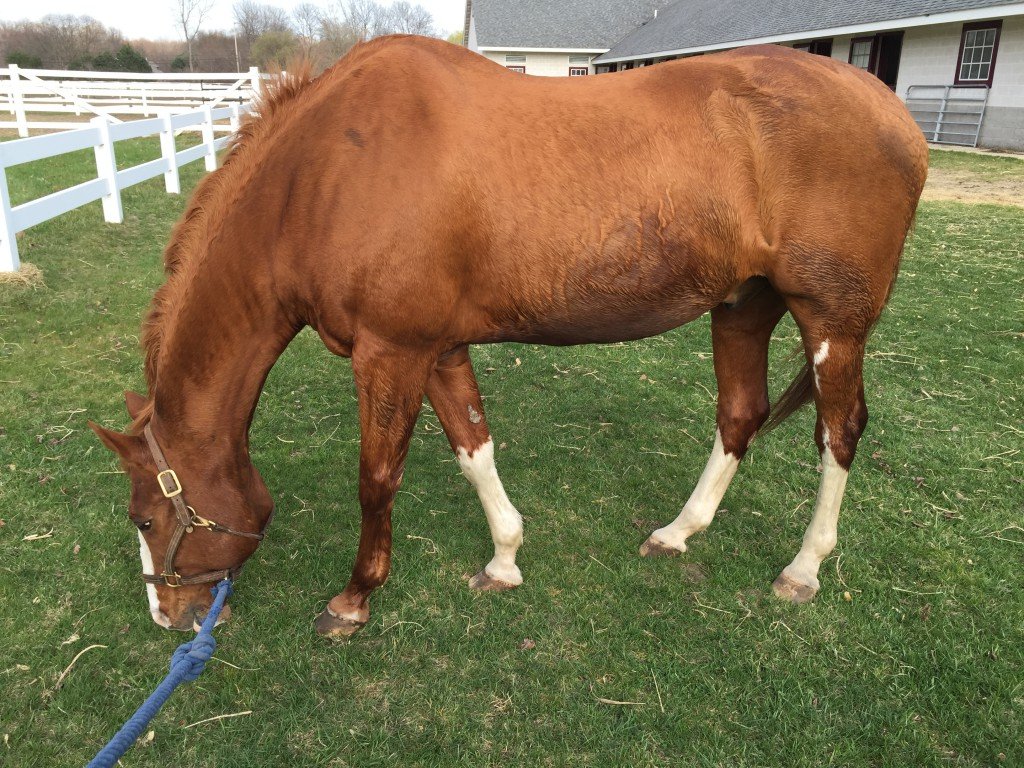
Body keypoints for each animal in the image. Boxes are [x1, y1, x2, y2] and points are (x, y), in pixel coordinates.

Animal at [92, 36, 933, 638]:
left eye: (144, 519)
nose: (168, 617)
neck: (325, 174)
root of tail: (895, 115)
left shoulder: (390, 353)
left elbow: (377, 478)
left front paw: (354, 598)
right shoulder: (435, 349)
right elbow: (475, 449)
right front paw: (503, 558)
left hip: (831, 321)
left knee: (840, 432)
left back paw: (804, 568)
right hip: (743, 305)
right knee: (740, 414)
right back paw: (678, 532)